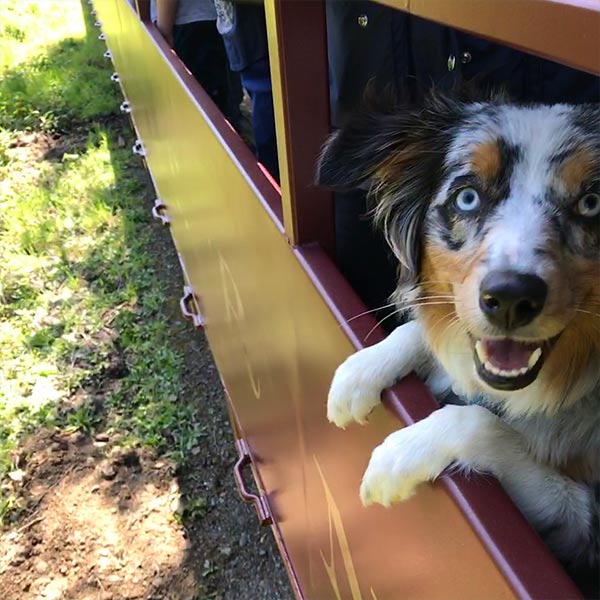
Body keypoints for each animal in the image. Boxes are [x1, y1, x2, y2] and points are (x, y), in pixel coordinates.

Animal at [316, 96, 600, 580]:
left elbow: (480, 422)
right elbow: (424, 331)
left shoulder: (586, 521)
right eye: (467, 197)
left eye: (591, 202)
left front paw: (398, 456)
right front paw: (360, 372)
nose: (510, 297)